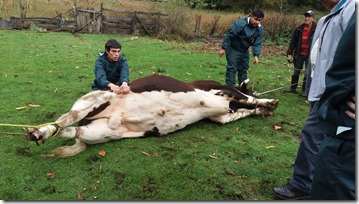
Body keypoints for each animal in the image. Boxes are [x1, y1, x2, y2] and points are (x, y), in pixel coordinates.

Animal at [26, 74, 278, 157]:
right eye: (253, 88)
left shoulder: (221, 115)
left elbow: (239, 113)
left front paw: (264, 109)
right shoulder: (223, 93)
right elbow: (247, 100)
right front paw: (270, 103)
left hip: (102, 132)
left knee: (71, 130)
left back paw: (40, 135)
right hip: (99, 95)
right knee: (69, 116)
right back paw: (41, 131)